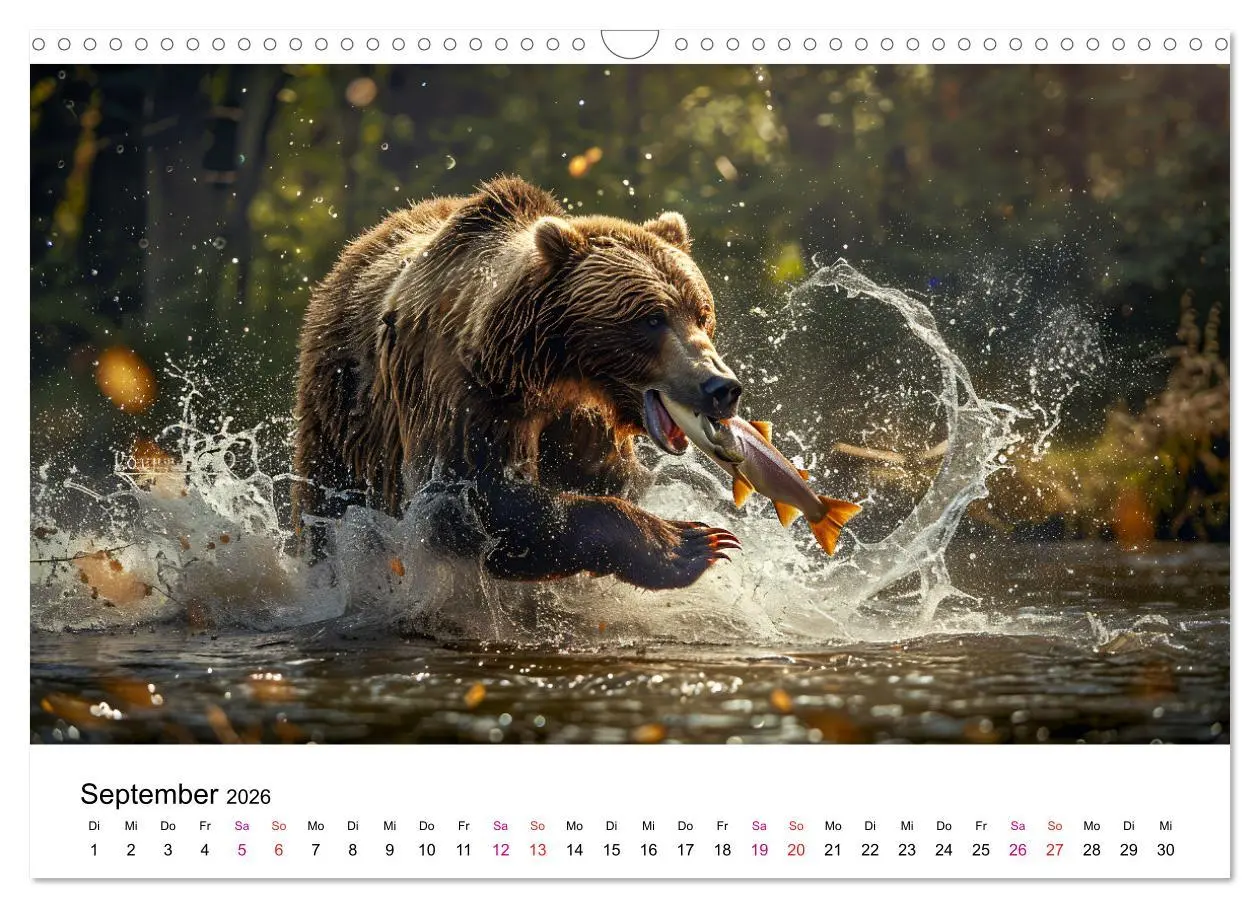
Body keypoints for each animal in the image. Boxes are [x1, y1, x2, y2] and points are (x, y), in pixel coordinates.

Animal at [293, 176, 744, 589]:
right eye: (652, 319)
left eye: (702, 313)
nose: (720, 386)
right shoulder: (462, 393)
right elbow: (471, 503)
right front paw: (690, 542)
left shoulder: (582, 419)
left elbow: (611, 476)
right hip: (341, 409)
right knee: (330, 501)